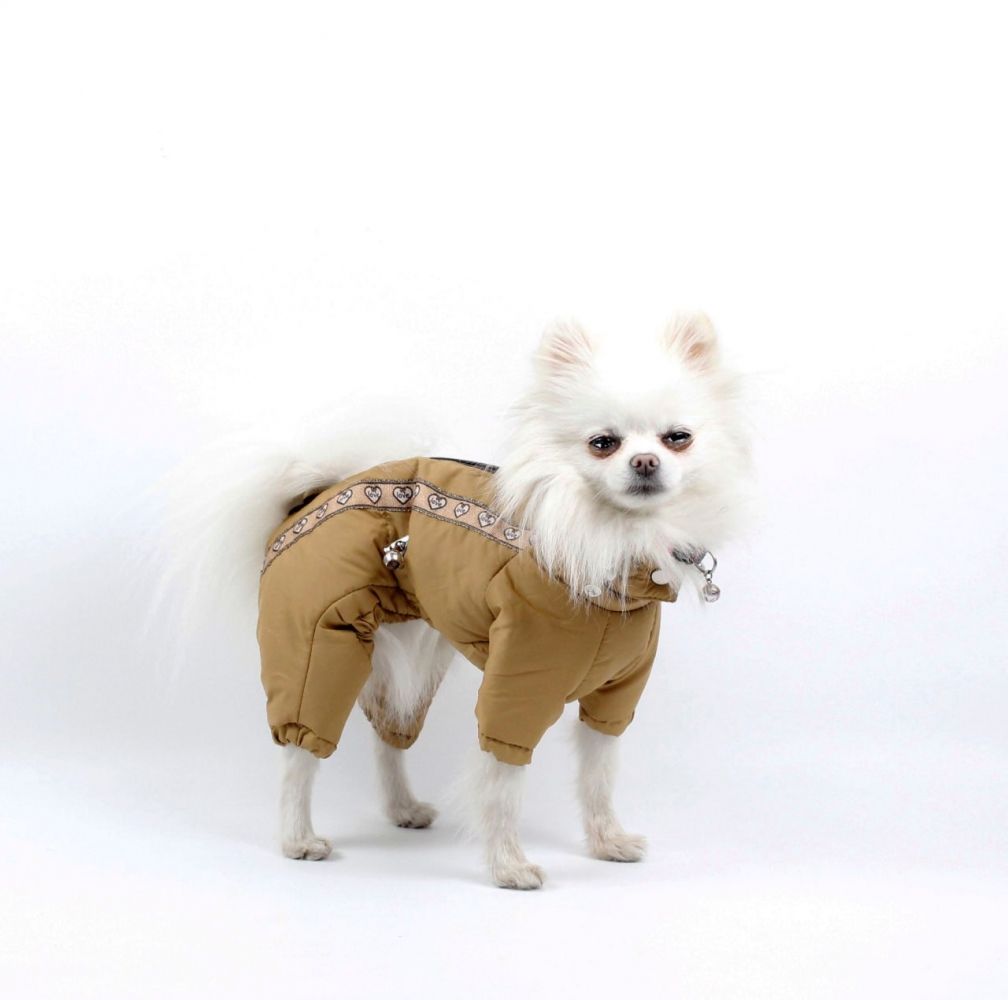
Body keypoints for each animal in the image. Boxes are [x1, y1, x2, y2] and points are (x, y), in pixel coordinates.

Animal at [160, 311, 751, 889]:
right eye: (603, 443)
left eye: (678, 438)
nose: (646, 462)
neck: (610, 548)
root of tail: (309, 495)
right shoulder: (518, 686)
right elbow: (502, 784)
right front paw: (509, 865)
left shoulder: (615, 695)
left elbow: (597, 778)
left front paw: (607, 842)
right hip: (318, 646)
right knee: (299, 753)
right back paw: (297, 838)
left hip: (407, 654)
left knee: (388, 735)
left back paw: (402, 808)